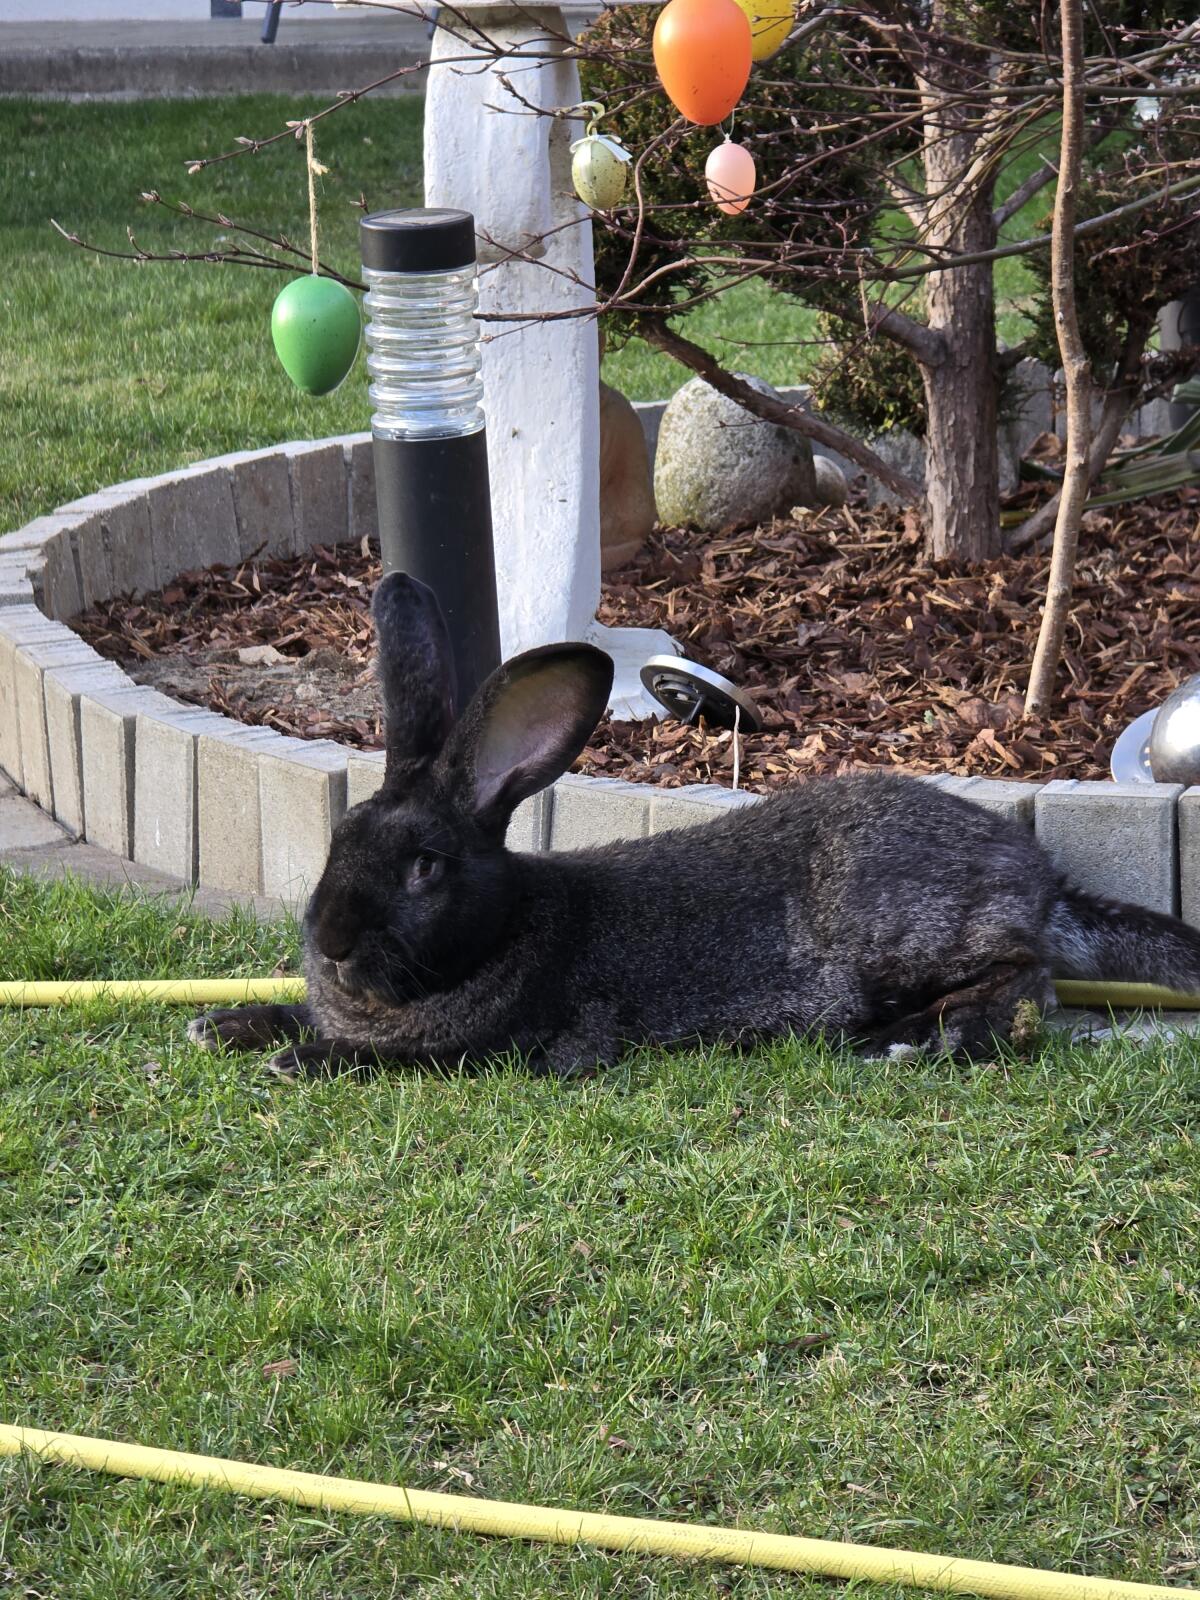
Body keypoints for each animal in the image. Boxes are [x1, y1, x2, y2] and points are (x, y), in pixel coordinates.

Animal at [190, 571, 1200, 1078]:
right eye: (339, 840)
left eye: (426, 867)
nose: (331, 941)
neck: (502, 930)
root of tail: (1039, 882)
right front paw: (224, 1025)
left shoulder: (492, 1050)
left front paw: (299, 1062)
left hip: (904, 931)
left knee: (1025, 986)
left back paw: (908, 1041)